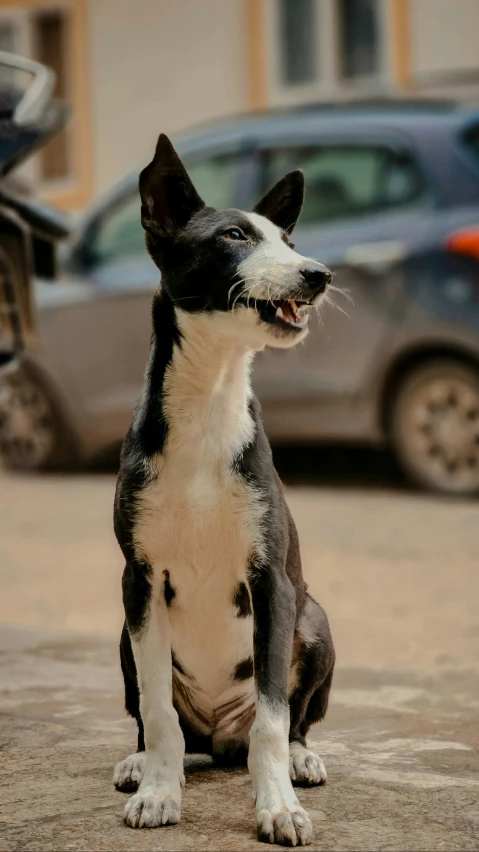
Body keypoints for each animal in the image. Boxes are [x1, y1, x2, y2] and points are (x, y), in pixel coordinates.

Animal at [114, 135, 336, 844]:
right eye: (235, 236)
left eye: (290, 242)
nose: (318, 274)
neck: (209, 406)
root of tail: (218, 737)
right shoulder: (140, 580)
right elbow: (157, 711)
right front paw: (159, 792)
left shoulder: (271, 583)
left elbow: (272, 715)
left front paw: (279, 807)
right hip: (123, 630)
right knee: (160, 719)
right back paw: (143, 762)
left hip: (313, 620)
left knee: (290, 720)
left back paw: (300, 759)